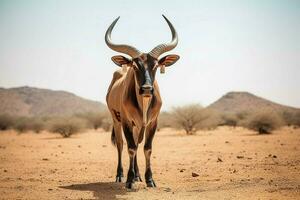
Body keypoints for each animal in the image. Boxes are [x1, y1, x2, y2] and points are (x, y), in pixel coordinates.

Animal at [105, 14, 179, 188]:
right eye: (134, 65)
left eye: (156, 65)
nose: (146, 89)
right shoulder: (126, 121)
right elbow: (130, 148)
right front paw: (129, 179)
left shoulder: (152, 123)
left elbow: (146, 148)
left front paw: (149, 179)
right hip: (116, 120)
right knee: (121, 145)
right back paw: (120, 174)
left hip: (138, 126)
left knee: (137, 144)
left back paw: (138, 175)